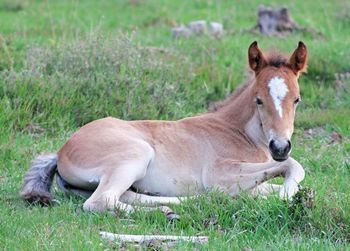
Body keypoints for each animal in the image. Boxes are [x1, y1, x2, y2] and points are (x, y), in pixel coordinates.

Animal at [21, 41, 306, 214]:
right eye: (259, 99)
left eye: (297, 99)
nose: (280, 147)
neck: (236, 131)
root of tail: (60, 151)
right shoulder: (219, 174)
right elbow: (294, 168)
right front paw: (285, 197)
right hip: (135, 154)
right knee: (101, 201)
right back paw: (169, 213)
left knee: (127, 196)